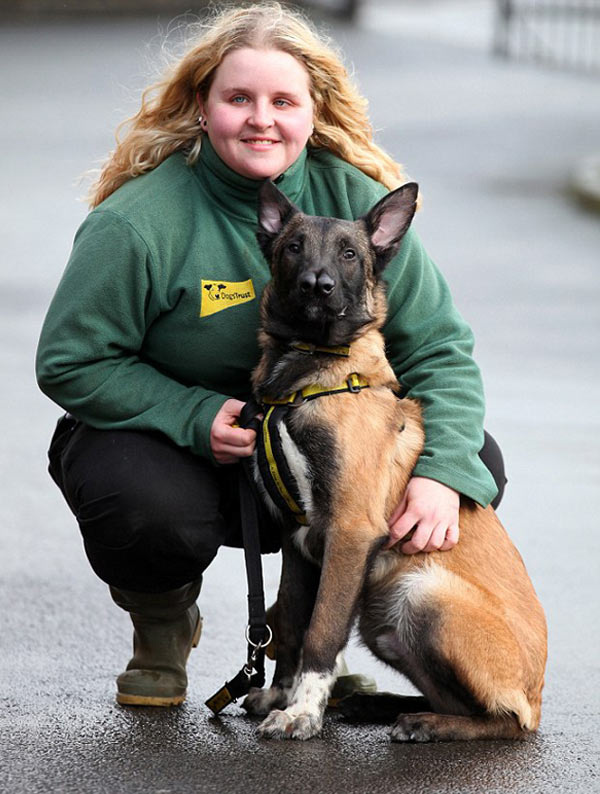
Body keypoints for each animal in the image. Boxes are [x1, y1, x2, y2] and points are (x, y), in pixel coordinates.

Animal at [241, 178, 548, 736]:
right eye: (293, 247)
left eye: (349, 254)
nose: (317, 286)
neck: (311, 374)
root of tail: (537, 696)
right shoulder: (296, 543)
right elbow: (292, 623)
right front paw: (281, 695)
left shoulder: (350, 533)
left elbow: (320, 633)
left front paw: (302, 712)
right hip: (383, 614)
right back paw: (381, 704)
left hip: (420, 594)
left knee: (504, 720)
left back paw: (430, 724)